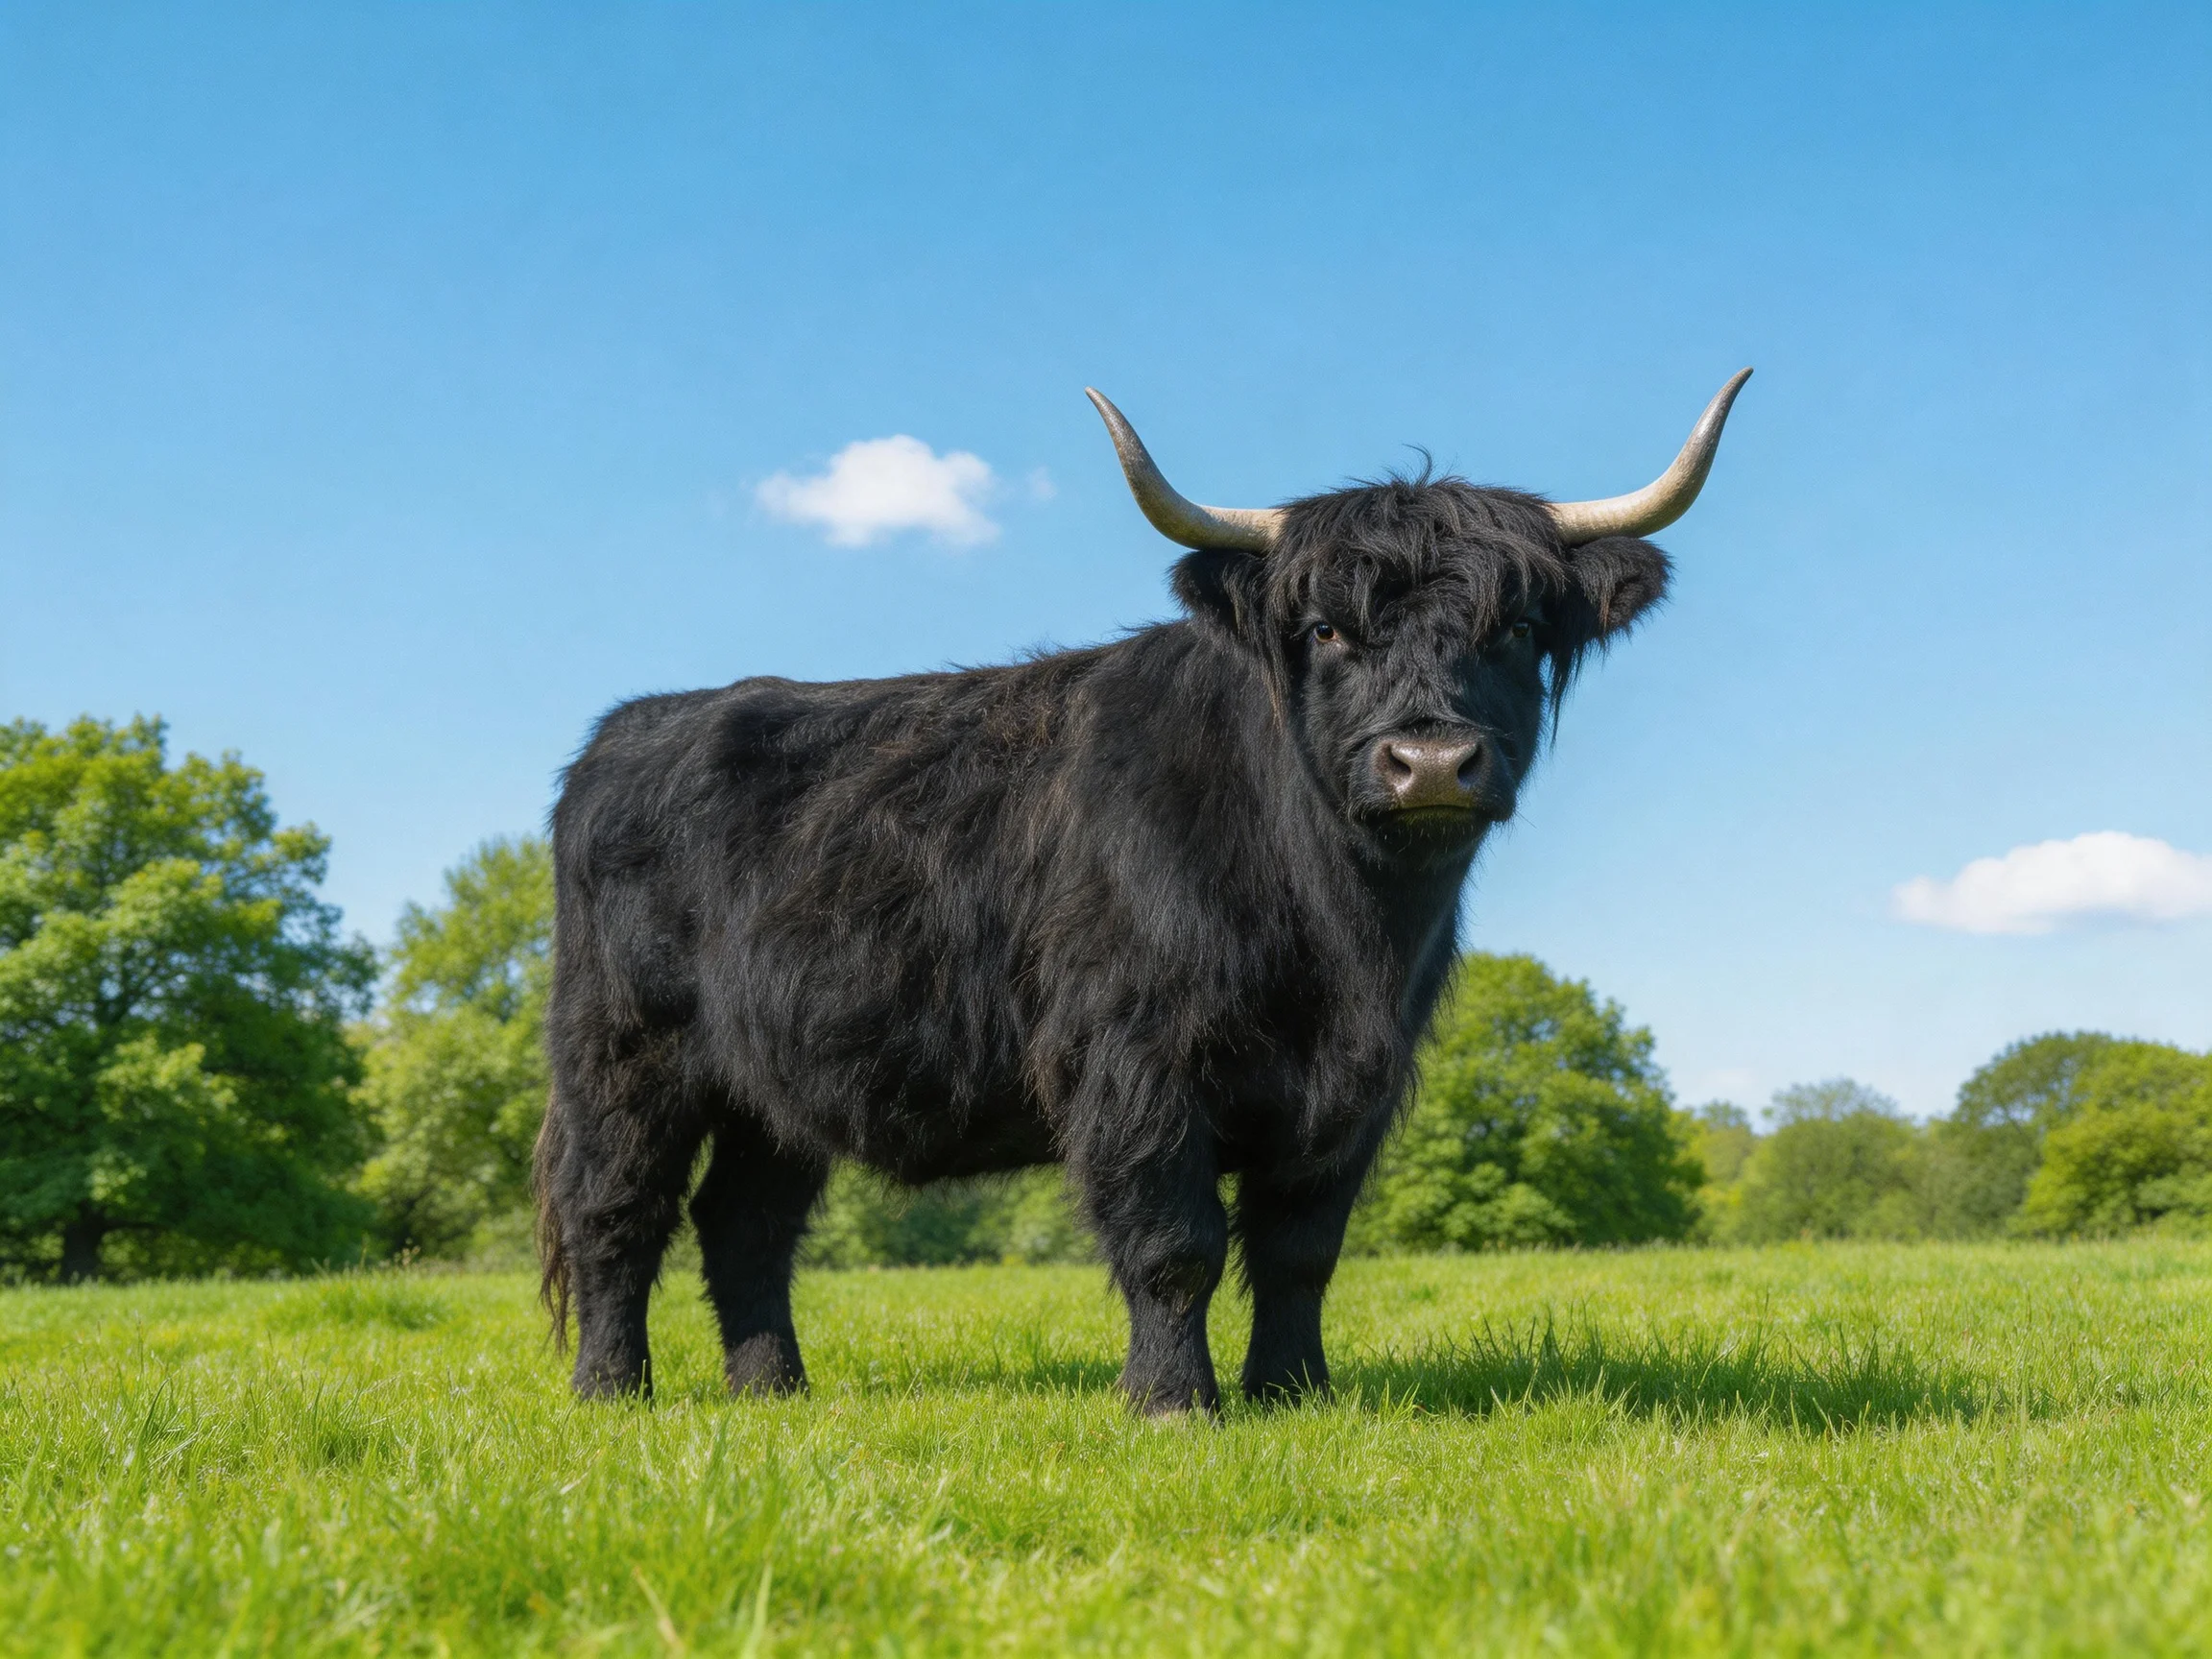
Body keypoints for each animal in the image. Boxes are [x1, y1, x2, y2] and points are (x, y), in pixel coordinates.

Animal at [534, 371, 1750, 1413]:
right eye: (1325, 630)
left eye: (1517, 628)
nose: (1433, 762)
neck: (1342, 940)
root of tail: (632, 727)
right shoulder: (1135, 1059)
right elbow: (1176, 1244)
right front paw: (1173, 1402)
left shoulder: (1356, 1088)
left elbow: (1300, 1251)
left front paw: (1293, 1394)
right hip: (626, 1051)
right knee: (615, 1211)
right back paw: (611, 1391)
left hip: (771, 1084)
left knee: (742, 1223)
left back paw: (773, 1388)